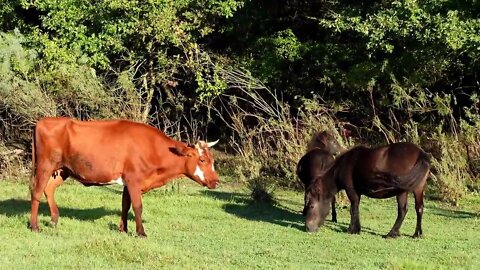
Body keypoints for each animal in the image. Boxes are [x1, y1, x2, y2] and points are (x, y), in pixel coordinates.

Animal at [31, 117, 222, 237]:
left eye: (212, 160)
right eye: (202, 159)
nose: (216, 182)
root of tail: (42, 121)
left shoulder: (128, 182)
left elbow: (125, 205)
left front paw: (123, 229)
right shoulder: (133, 179)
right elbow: (137, 206)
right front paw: (141, 232)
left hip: (63, 169)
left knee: (49, 189)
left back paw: (54, 220)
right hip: (45, 165)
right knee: (36, 192)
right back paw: (34, 226)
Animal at [304, 142, 432, 237]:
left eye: (311, 206)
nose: (308, 228)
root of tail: (421, 153)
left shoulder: (352, 191)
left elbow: (353, 209)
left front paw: (352, 229)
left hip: (403, 190)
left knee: (404, 210)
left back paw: (392, 233)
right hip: (414, 189)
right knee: (416, 208)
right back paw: (414, 234)